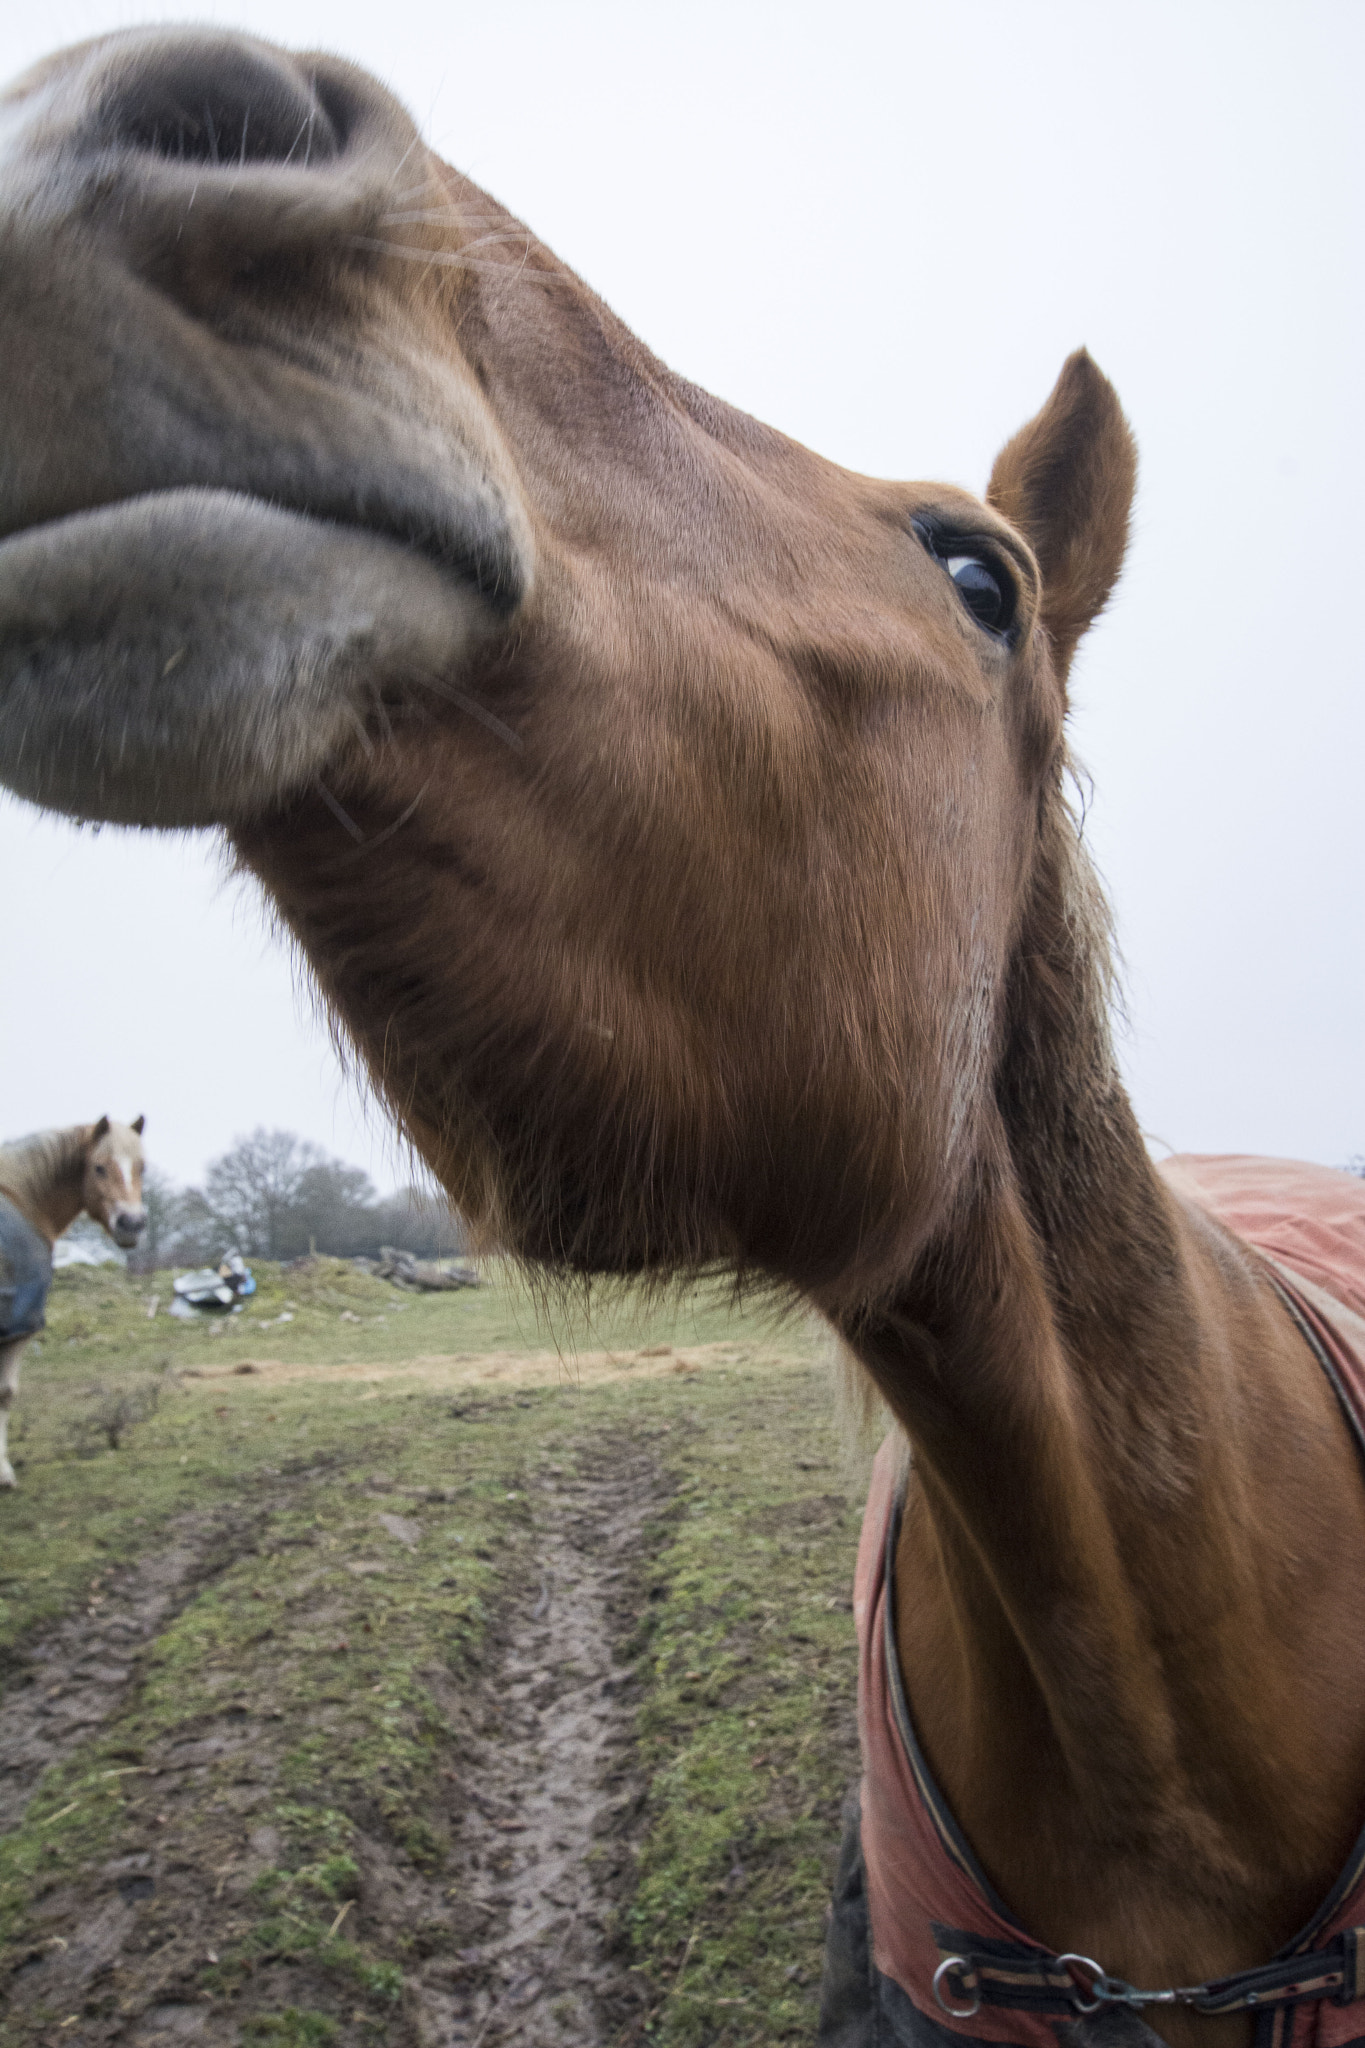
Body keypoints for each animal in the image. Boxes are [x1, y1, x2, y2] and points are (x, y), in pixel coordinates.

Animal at [0, 1122, 147, 1490]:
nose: (132, 1224)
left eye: (142, 1167)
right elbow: (5, 1393)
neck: (22, 1199)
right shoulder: (18, 1327)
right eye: (99, 1167)